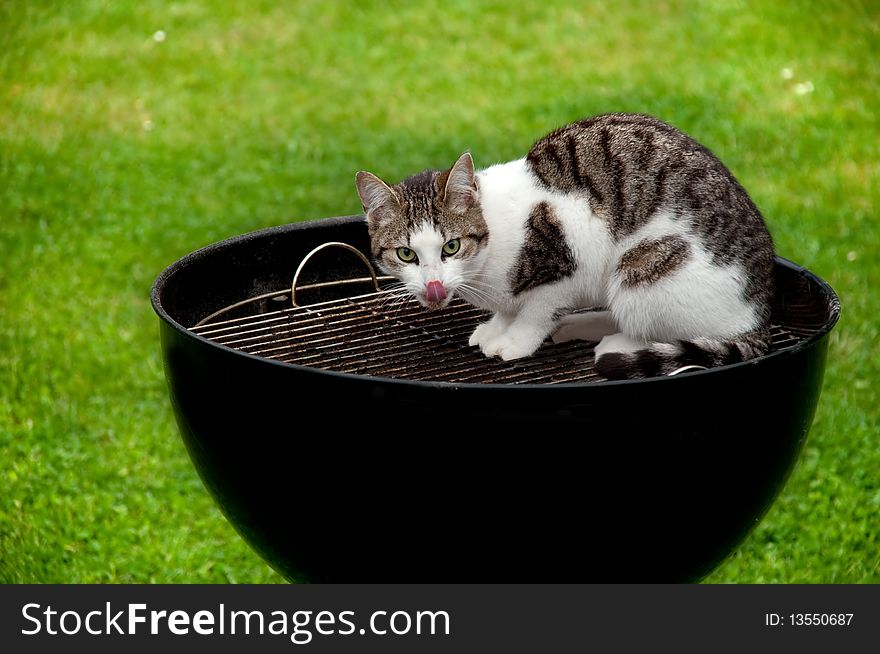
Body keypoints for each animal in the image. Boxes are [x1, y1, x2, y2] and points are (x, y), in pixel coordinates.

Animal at [354, 112, 772, 380]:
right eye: (406, 254)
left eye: (451, 247)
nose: (434, 286)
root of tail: (757, 320)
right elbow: (509, 308)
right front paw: (497, 326)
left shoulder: (570, 253)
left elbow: (538, 310)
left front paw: (516, 339)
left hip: (645, 264)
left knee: (658, 327)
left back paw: (618, 344)